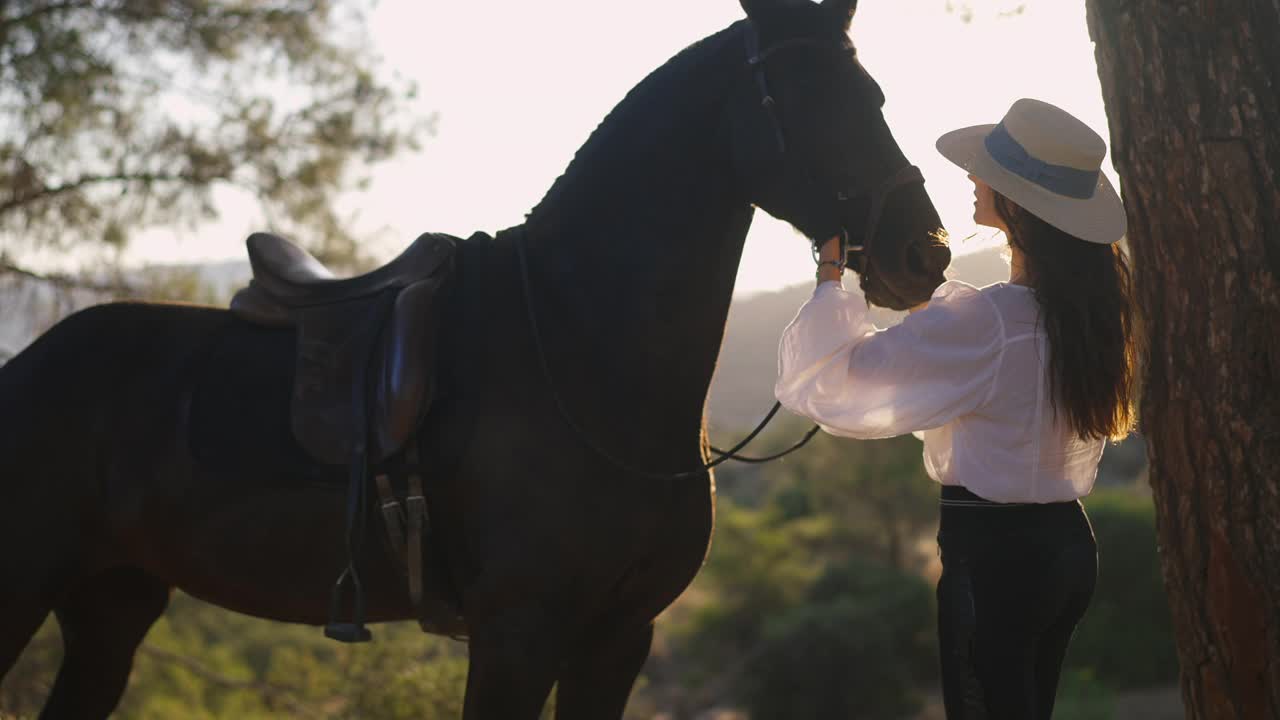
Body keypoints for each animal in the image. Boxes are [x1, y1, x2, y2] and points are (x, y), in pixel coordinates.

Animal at [2, 0, 952, 712]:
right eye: (800, 95)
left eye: (872, 92)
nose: (925, 252)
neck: (583, 353)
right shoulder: (517, 636)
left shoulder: (619, 636)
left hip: (111, 604)